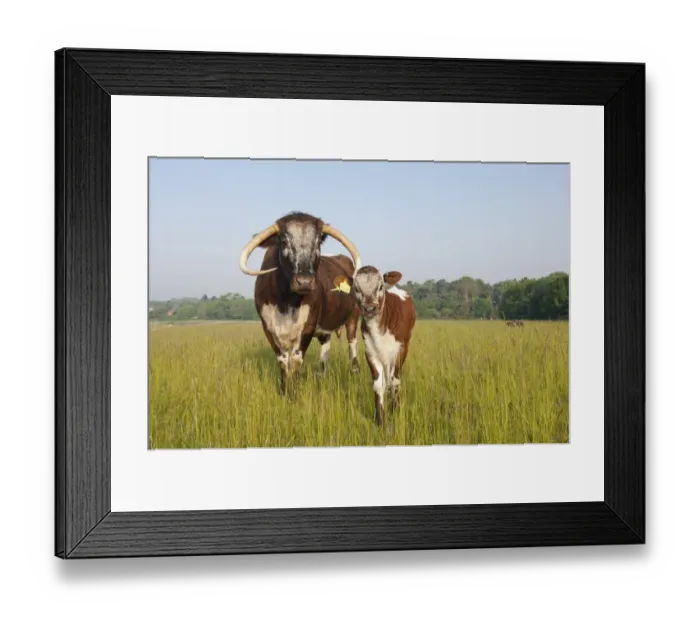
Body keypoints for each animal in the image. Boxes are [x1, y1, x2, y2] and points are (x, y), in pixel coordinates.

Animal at [238, 212, 362, 394]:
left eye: (318, 242)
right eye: (284, 241)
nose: (304, 282)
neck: (286, 304)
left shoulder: (307, 328)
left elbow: (296, 360)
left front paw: (293, 393)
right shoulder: (268, 328)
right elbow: (283, 361)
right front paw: (284, 391)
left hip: (353, 317)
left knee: (352, 343)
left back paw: (354, 370)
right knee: (325, 349)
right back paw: (321, 375)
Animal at [333, 266, 416, 426]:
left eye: (380, 287)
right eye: (356, 288)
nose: (370, 308)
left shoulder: (400, 350)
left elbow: (395, 381)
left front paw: (395, 410)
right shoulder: (370, 352)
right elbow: (378, 385)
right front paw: (380, 419)